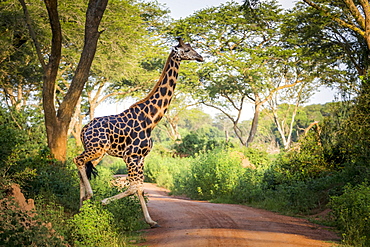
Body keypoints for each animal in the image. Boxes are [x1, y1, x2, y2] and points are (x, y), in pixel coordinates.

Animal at [73, 37, 204, 229]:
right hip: (97, 148)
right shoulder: (131, 155)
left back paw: (81, 205)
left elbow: (140, 188)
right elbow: (133, 187)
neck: (151, 119)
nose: (200, 57)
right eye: (187, 50)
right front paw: (104, 201)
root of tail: (84, 129)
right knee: (78, 160)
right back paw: (89, 197)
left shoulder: (141, 157)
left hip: (97, 151)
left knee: (81, 165)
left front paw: (151, 221)